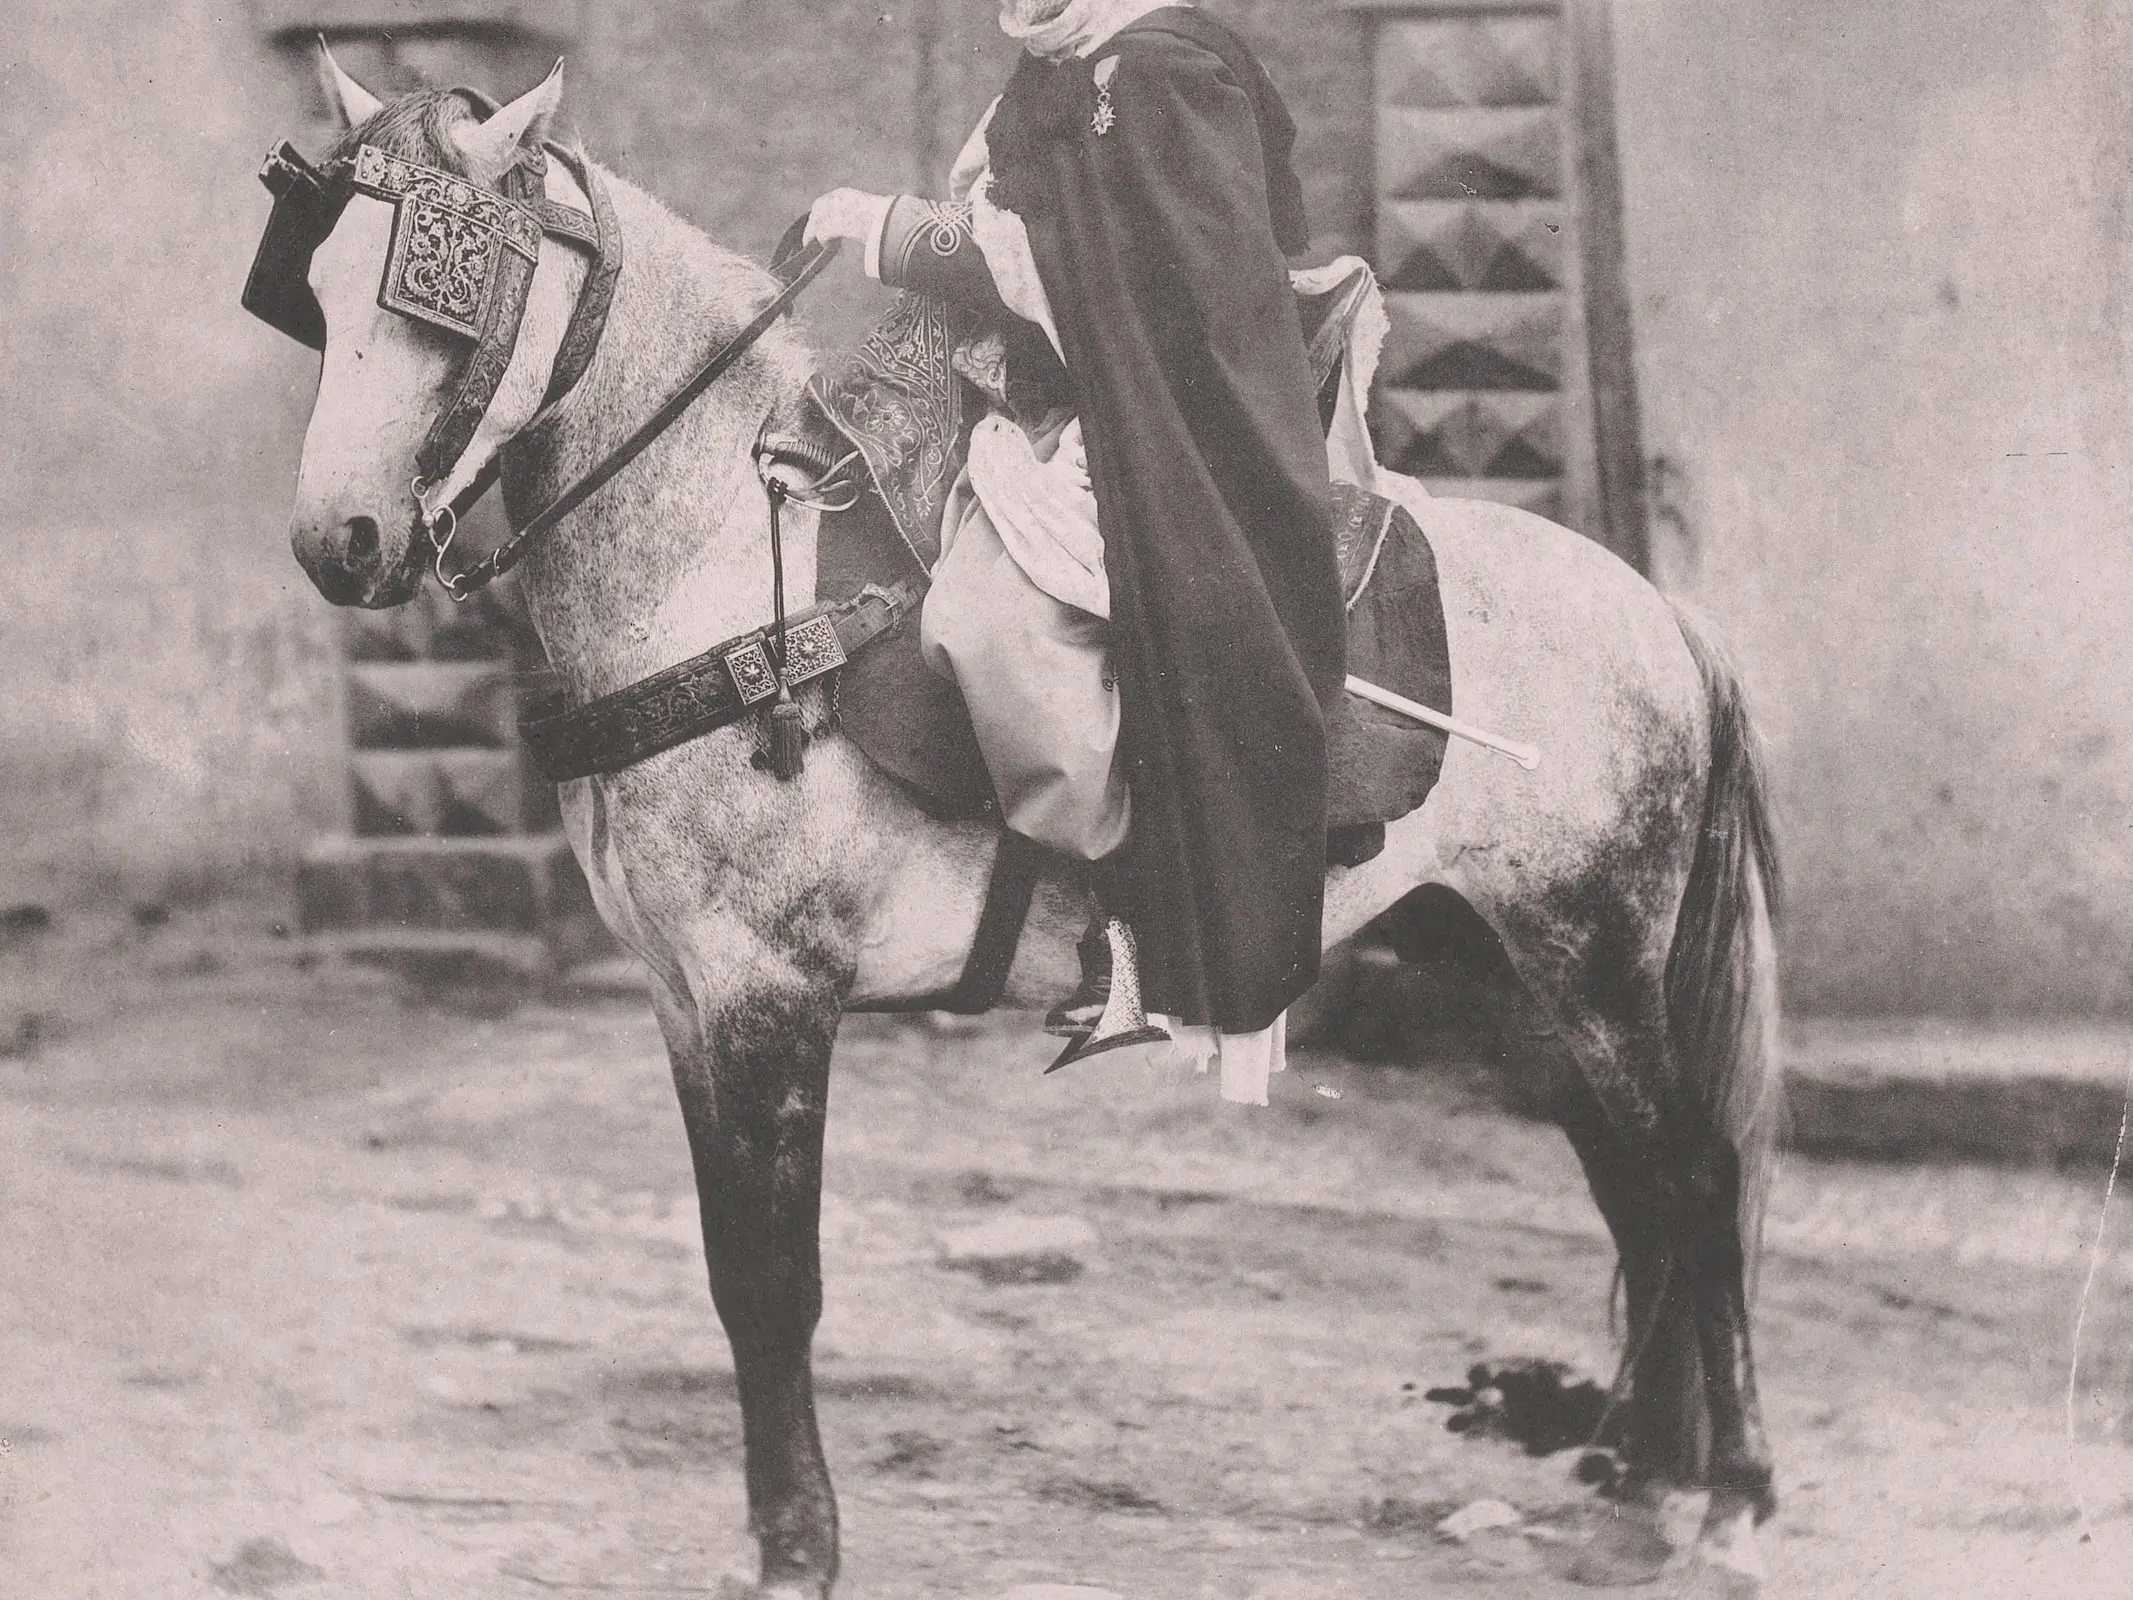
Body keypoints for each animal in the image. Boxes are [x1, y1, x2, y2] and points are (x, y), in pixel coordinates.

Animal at [266, 57, 1784, 1600]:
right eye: (317, 292)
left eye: (442, 294)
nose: (341, 544)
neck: (724, 576)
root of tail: (1655, 605)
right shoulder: (685, 1001)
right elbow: (730, 1269)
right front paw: (774, 1534)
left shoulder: (768, 999)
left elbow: (777, 1281)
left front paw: (798, 1549)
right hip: (1507, 967)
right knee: (1631, 1183)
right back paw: (1648, 1481)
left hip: (1593, 955)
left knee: (1695, 1171)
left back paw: (1729, 1496)